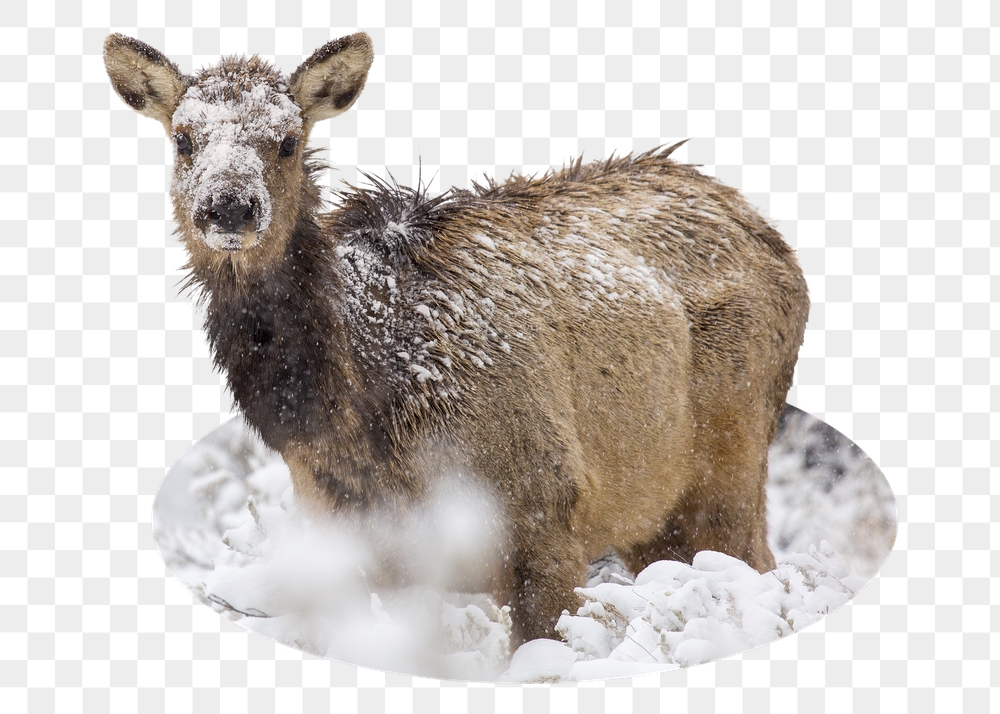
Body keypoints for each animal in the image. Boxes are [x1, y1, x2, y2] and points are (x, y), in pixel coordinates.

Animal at [104, 32, 810, 646]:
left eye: (287, 140)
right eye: (183, 139)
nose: (229, 207)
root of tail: (771, 234)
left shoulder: (547, 510)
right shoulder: (357, 547)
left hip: (730, 460)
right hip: (651, 512)